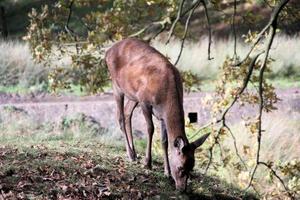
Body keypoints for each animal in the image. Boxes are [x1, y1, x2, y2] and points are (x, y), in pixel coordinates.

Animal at [104, 38, 210, 191]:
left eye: (192, 167)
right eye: (180, 167)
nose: (182, 189)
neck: (166, 95)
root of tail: (108, 51)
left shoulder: (162, 115)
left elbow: (165, 141)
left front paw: (167, 173)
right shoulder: (145, 101)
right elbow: (150, 129)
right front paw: (147, 163)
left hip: (132, 95)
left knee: (127, 112)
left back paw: (134, 153)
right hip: (116, 85)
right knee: (120, 117)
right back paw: (130, 154)